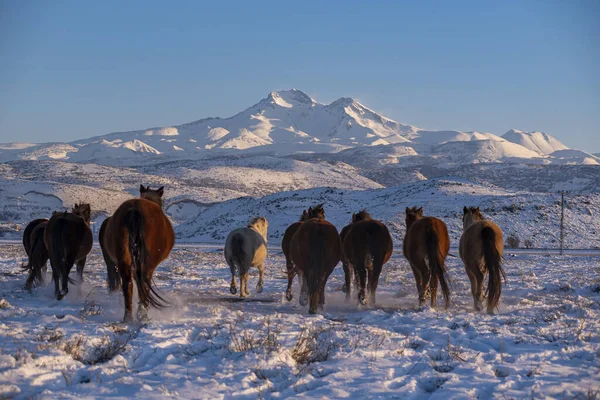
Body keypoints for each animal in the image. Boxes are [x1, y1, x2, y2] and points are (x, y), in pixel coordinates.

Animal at [101, 185, 173, 322]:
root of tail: (135, 209)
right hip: (146, 265)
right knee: (144, 285)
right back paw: (142, 314)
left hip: (124, 261)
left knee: (127, 285)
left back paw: (128, 317)